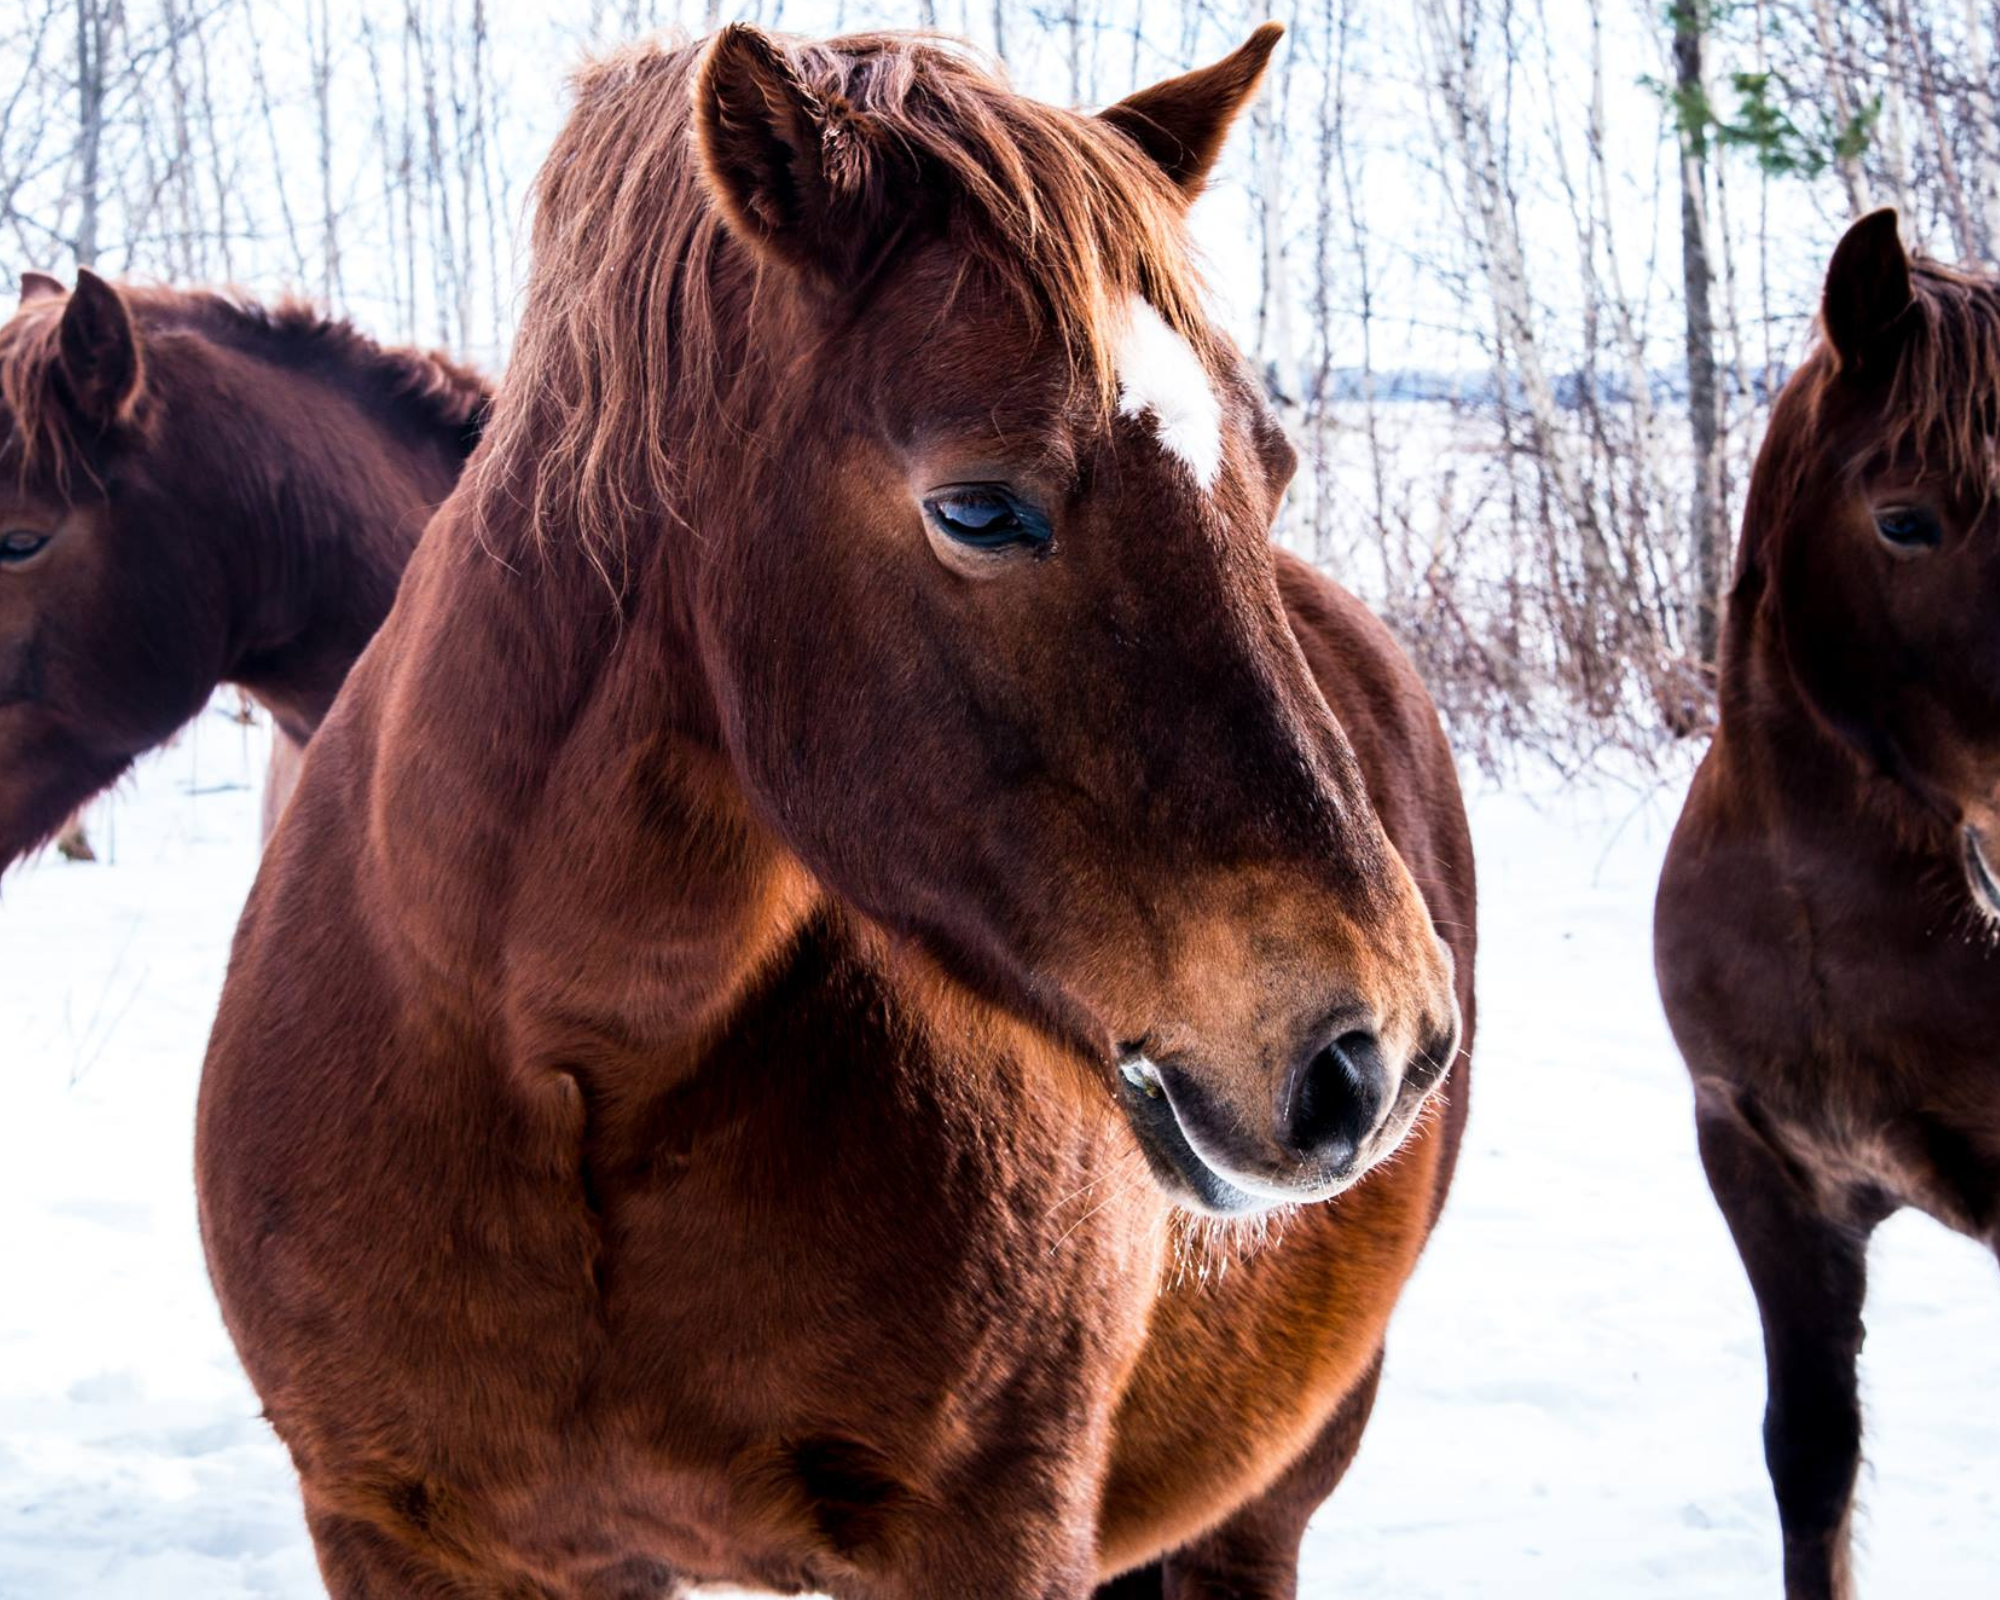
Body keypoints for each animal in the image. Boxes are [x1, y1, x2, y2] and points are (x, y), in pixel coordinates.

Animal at [197, 27, 1476, 1599]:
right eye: (979, 509)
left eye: (1273, 470)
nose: (1380, 1049)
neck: (558, 1064)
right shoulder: (398, 1531)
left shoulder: (993, 1537)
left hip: (1269, 1495)